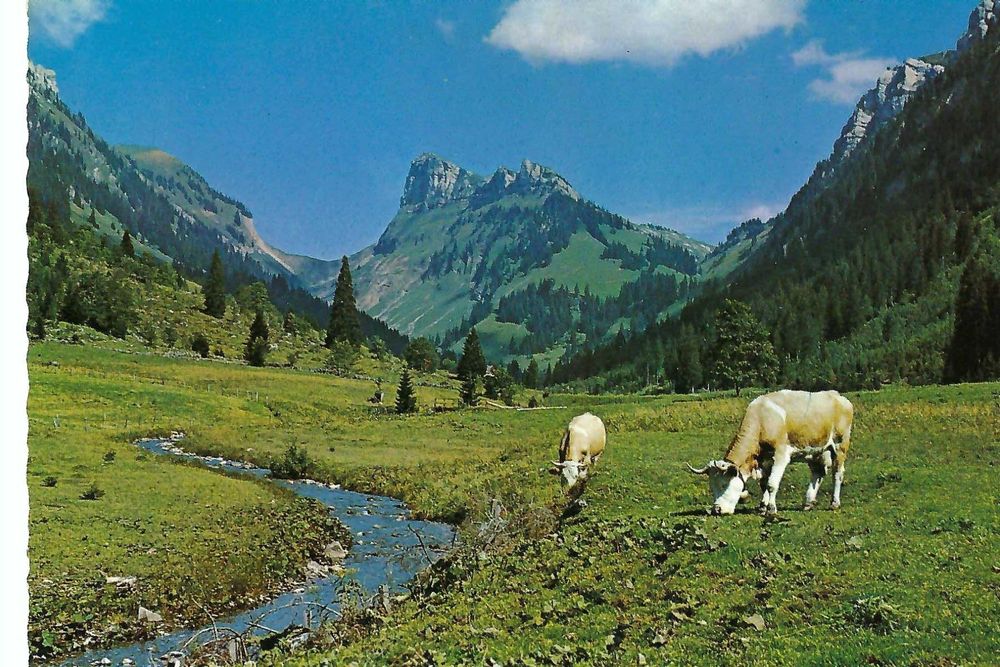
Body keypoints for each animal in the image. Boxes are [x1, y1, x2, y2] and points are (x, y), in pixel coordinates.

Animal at [687, 389, 854, 516]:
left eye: (723, 484)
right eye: (711, 486)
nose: (717, 509)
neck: (762, 419)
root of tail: (838, 396)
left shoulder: (780, 455)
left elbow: (772, 484)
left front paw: (771, 508)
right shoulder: (765, 460)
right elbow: (763, 483)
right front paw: (763, 506)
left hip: (840, 445)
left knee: (837, 474)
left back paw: (834, 503)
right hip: (814, 450)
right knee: (817, 474)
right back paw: (808, 503)